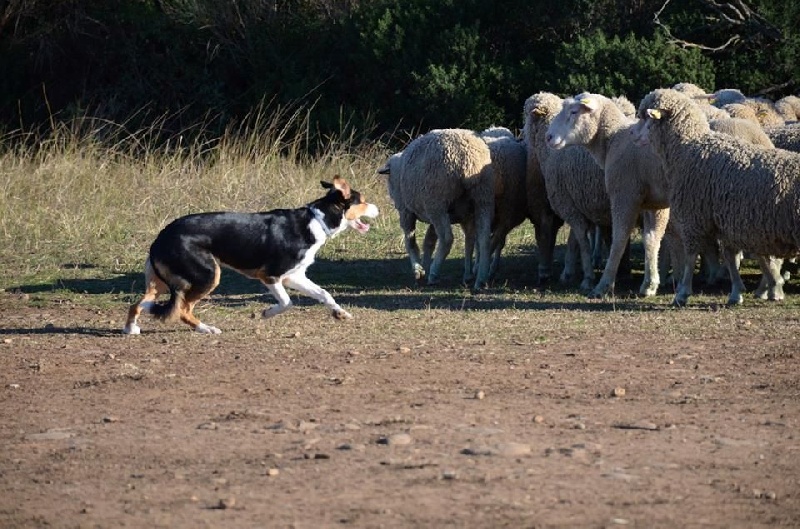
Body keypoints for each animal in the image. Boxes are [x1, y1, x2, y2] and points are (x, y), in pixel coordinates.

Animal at [122, 177, 378, 334]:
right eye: (363, 201)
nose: (378, 208)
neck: (317, 220)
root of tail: (161, 237)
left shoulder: (293, 276)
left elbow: (324, 293)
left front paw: (339, 312)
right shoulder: (271, 276)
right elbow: (286, 302)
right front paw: (267, 313)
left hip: (161, 284)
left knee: (139, 304)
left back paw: (131, 329)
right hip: (207, 275)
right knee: (183, 310)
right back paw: (206, 329)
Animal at [376, 130, 494, 290]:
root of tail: (468, 160)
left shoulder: (406, 211)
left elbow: (410, 241)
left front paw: (418, 270)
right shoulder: (432, 217)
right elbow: (429, 242)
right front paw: (424, 266)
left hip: (437, 202)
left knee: (446, 238)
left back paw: (434, 273)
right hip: (483, 198)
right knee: (483, 239)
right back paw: (480, 279)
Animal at [548, 91, 672, 296]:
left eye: (574, 111)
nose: (548, 136)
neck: (614, 138)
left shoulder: (624, 195)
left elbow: (619, 239)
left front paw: (604, 285)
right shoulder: (655, 203)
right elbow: (652, 239)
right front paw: (650, 284)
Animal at [632, 87, 800, 306]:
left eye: (646, 117)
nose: (633, 135)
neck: (687, 148)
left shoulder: (694, 217)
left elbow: (691, 256)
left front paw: (682, 292)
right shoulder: (722, 222)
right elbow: (729, 257)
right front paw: (737, 292)